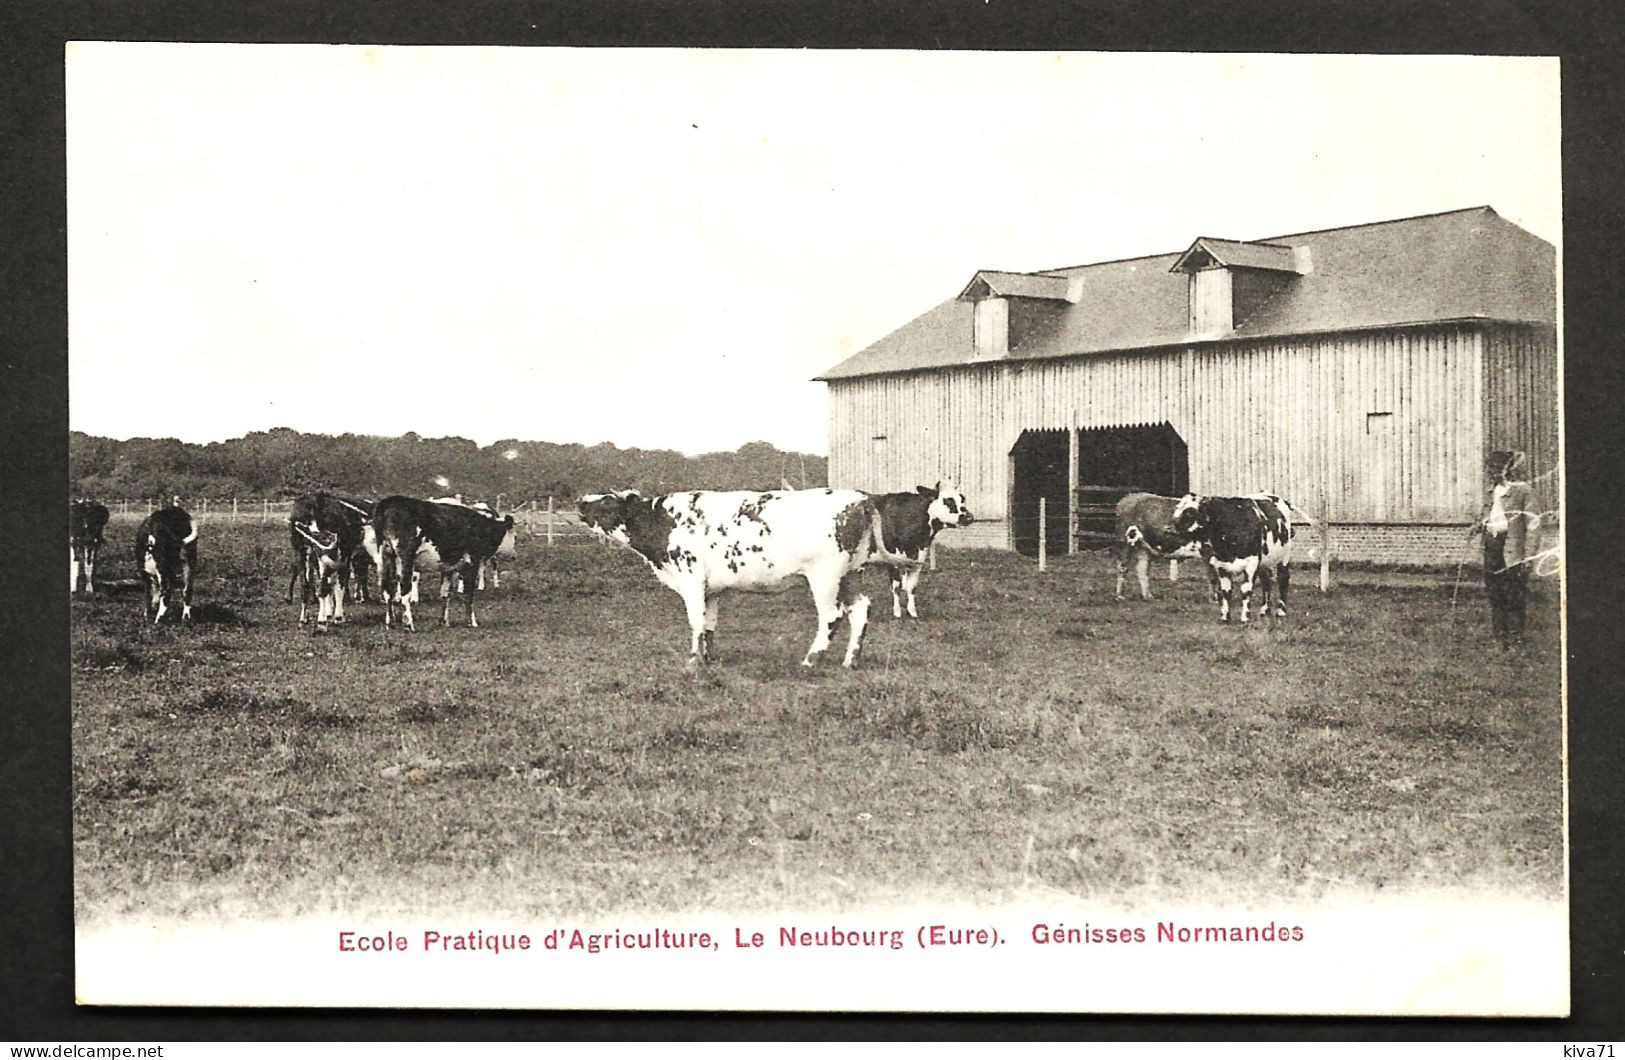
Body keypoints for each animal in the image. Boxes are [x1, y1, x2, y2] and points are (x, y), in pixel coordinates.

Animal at [373, 497, 513, 630]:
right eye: (498, 533)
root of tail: (391, 501)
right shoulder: (472, 563)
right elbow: (469, 595)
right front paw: (472, 622)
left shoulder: (447, 568)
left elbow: (445, 593)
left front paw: (444, 622)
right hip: (405, 556)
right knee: (404, 588)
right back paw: (409, 625)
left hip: (385, 557)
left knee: (387, 588)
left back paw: (390, 623)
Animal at [578, 487, 884, 669]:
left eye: (606, 501)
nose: (580, 501)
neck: (664, 521)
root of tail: (859, 497)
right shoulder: (711, 589)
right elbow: (709, 623)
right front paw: (709, 658)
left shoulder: (691, 579)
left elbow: (695, 621)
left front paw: (693, 662)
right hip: (852, 572)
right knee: (860, 609)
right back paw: (850, 661)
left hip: (825, 576)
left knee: (832, 616)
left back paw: (810, 660)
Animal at [871, 481, 968, 621]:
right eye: (948, 501)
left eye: (962, 499)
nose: (969, 517)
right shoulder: (892, 557)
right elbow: (896, 586)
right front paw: (897, 613)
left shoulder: (919, 557)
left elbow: (911, 587)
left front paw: (912, 613)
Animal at [1176, 494, 1300, 624]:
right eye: (1178, 508)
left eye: (1189, 512)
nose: (1173, 525)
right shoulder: (1221, 565)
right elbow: (1225, 591)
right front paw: (1225, 617)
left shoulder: (1252, 563)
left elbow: (1246, 590)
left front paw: (1245, 617)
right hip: (1264, 562)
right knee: (1266, 581)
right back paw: (1264, 610)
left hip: (1284, 555)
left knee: (1283, 579)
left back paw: (1281, 611)